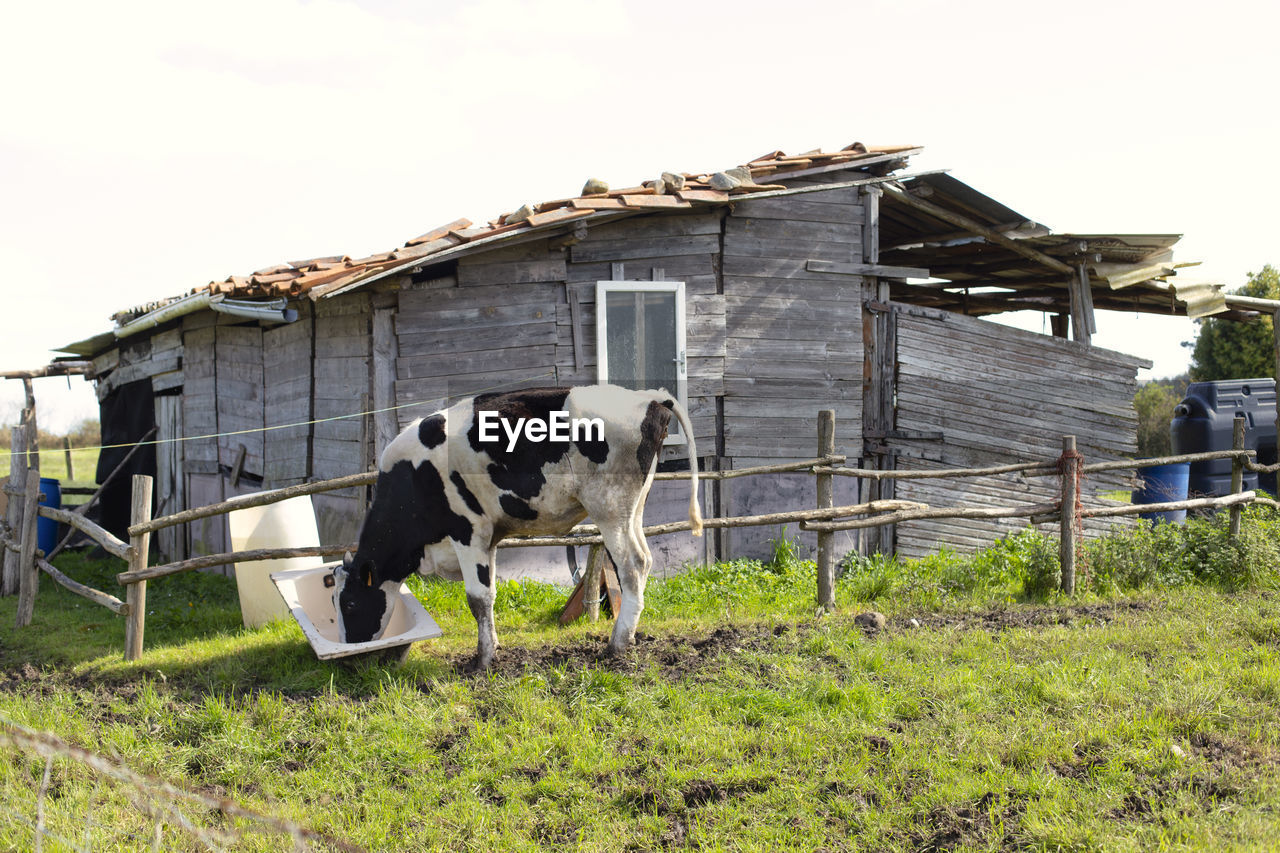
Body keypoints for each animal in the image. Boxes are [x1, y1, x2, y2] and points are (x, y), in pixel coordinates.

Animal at [332, 381, 701, 666]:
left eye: (348, 603)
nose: (350, 654)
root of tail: (651, 397)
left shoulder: (469, 530)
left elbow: (477, 598)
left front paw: (482, 661)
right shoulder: (490, 538)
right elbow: (490, 595)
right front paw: (493, 647)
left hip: (609, 508)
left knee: (632, 565)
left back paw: (618, 644)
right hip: (632, 509)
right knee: (646, 560)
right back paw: (631, 637)